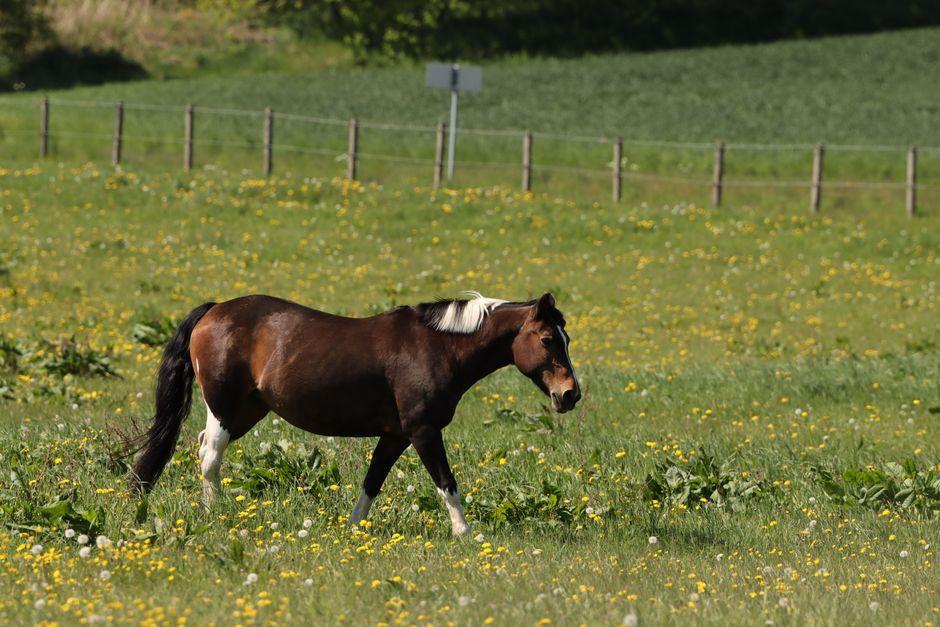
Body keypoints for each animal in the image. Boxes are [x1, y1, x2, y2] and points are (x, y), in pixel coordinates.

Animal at [130, 291, 580, 536]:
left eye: (567, 338)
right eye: (546, 339)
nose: (570, 394)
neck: (438, 347)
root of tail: (215, 309)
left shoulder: (396, 435)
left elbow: (371, 482)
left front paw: (352, 529)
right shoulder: (423, 431)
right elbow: (447, 484)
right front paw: (465, 533)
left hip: (247, 411)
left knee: (203, 447)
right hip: (225, 406)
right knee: (210, 455)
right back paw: (215, 513)